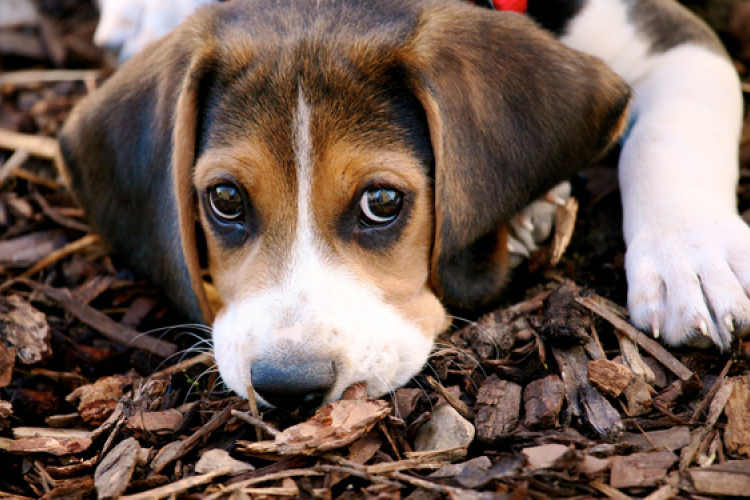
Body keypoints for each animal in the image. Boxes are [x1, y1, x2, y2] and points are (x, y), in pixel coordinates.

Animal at [61, 0, 750, 408]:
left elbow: (672, 132)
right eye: (225, 199)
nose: (289, 388)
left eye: (383, 201)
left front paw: (695, 261)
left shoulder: (672, 34)